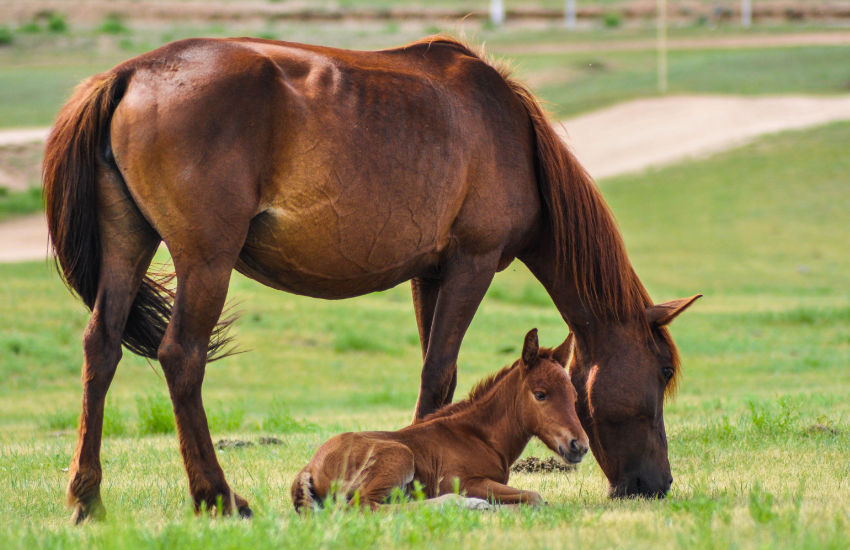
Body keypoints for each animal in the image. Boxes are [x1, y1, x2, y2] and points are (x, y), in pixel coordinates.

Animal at [288, 328, 588, 512]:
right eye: (540, 394)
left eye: (574, 395)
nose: (579, 446)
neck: (479, 437)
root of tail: (310, 467)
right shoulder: (465, 481)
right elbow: (534, 497)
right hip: (400, 456)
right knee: (365, 507)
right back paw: (464, 504)